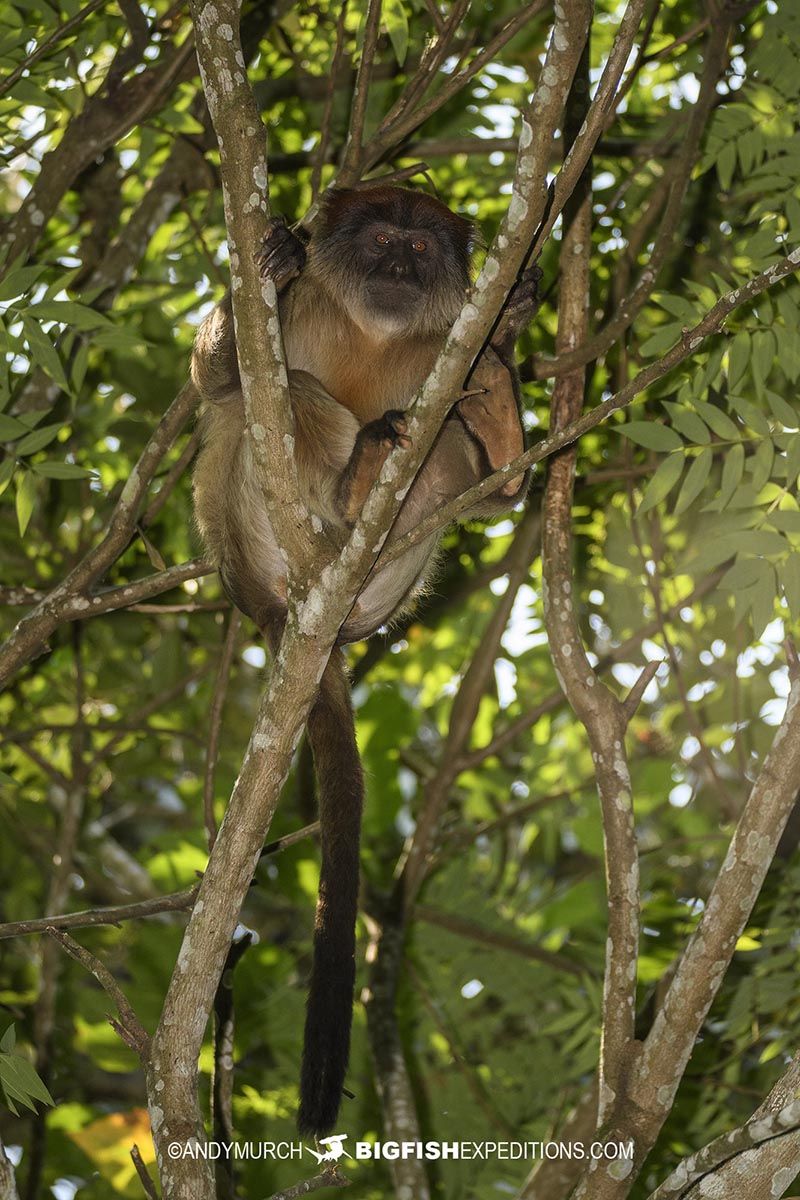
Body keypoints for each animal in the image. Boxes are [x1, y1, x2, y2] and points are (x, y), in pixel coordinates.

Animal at [191, 185, 530, 1136]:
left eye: (418, 248)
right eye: (381, 241)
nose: (399, 270)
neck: (375, 329)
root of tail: (310, 607)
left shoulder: (444, 336)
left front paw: (507, 331)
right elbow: (218, 380)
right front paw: (273, 262)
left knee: (448, 445)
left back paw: (492, 442)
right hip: (247, 528)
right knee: (270, 401)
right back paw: (345, 491)